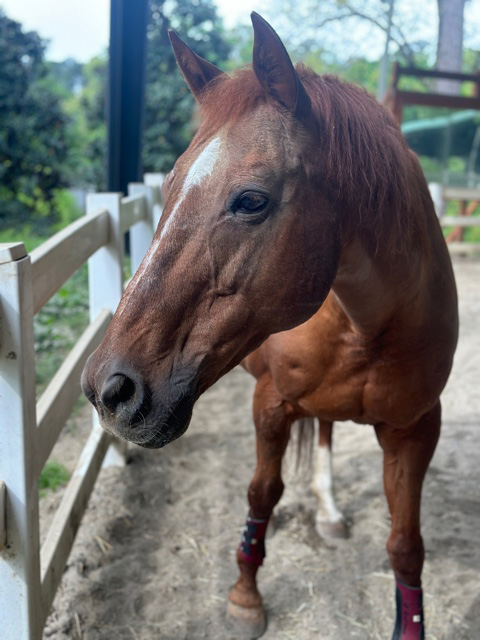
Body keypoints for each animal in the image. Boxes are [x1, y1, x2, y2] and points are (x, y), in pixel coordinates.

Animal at [81, 11, 458, 640]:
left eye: (251, 200)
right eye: (172, 186)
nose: (108, 389)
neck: (369, 322)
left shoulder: (415, 429)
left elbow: (406, 547)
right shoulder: (271, 402)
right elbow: (261, 495)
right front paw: (244, 597)